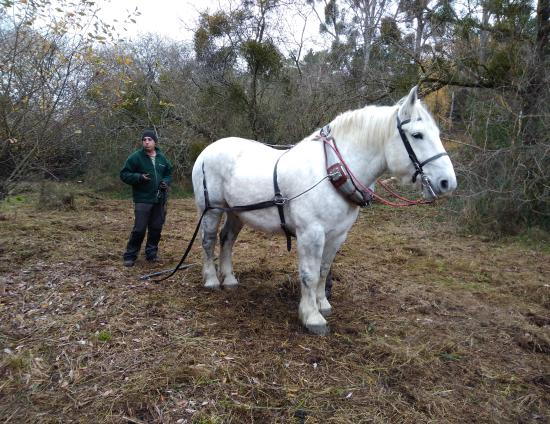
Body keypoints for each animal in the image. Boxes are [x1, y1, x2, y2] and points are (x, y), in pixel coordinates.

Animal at [192, 87, 460, 334]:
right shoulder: (311, 234)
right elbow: (309, 274)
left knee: (227, 239)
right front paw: (312, 317)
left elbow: (323, 270)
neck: (331, 172)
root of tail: (207, 151)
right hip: (211, 210)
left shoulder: (337, 235)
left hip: (236, 212)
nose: (448, 183)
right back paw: (212, 280)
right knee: (208, 241)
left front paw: (322, 304)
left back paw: (229, 279)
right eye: (417, 135)